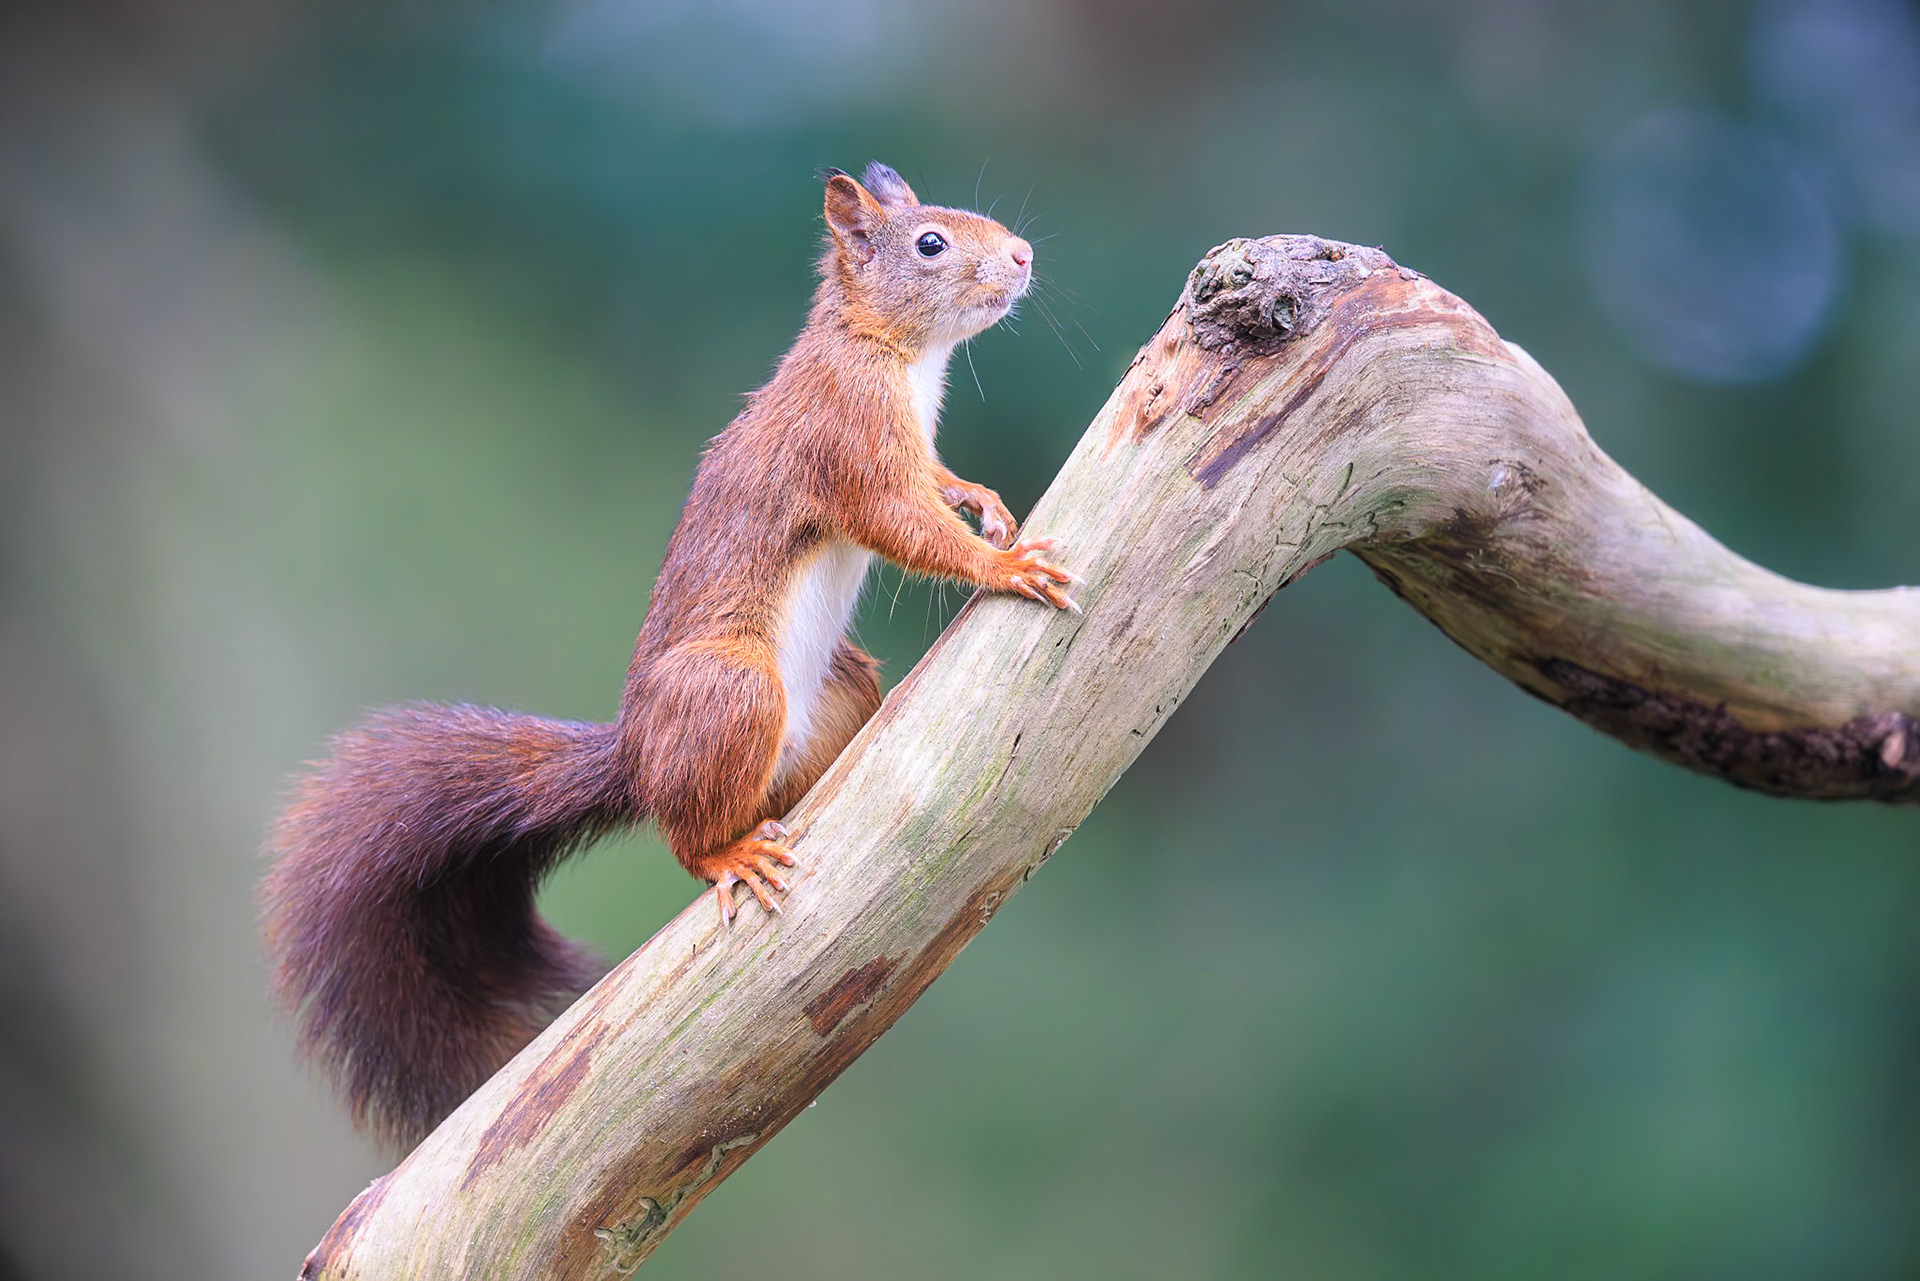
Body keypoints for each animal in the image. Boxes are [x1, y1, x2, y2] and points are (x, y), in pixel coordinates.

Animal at [260, 162, 1077, 1150]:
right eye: (930, 243)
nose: (1025, 255)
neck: (894, 354)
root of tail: (637, 755)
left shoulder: (910, 450)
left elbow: (939, 483)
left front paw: (986, 501)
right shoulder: (847, 440)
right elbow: (901, 522)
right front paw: (1004, 563)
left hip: (835, 685)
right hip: (732, 687)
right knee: (686, 835)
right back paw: (730, 857)